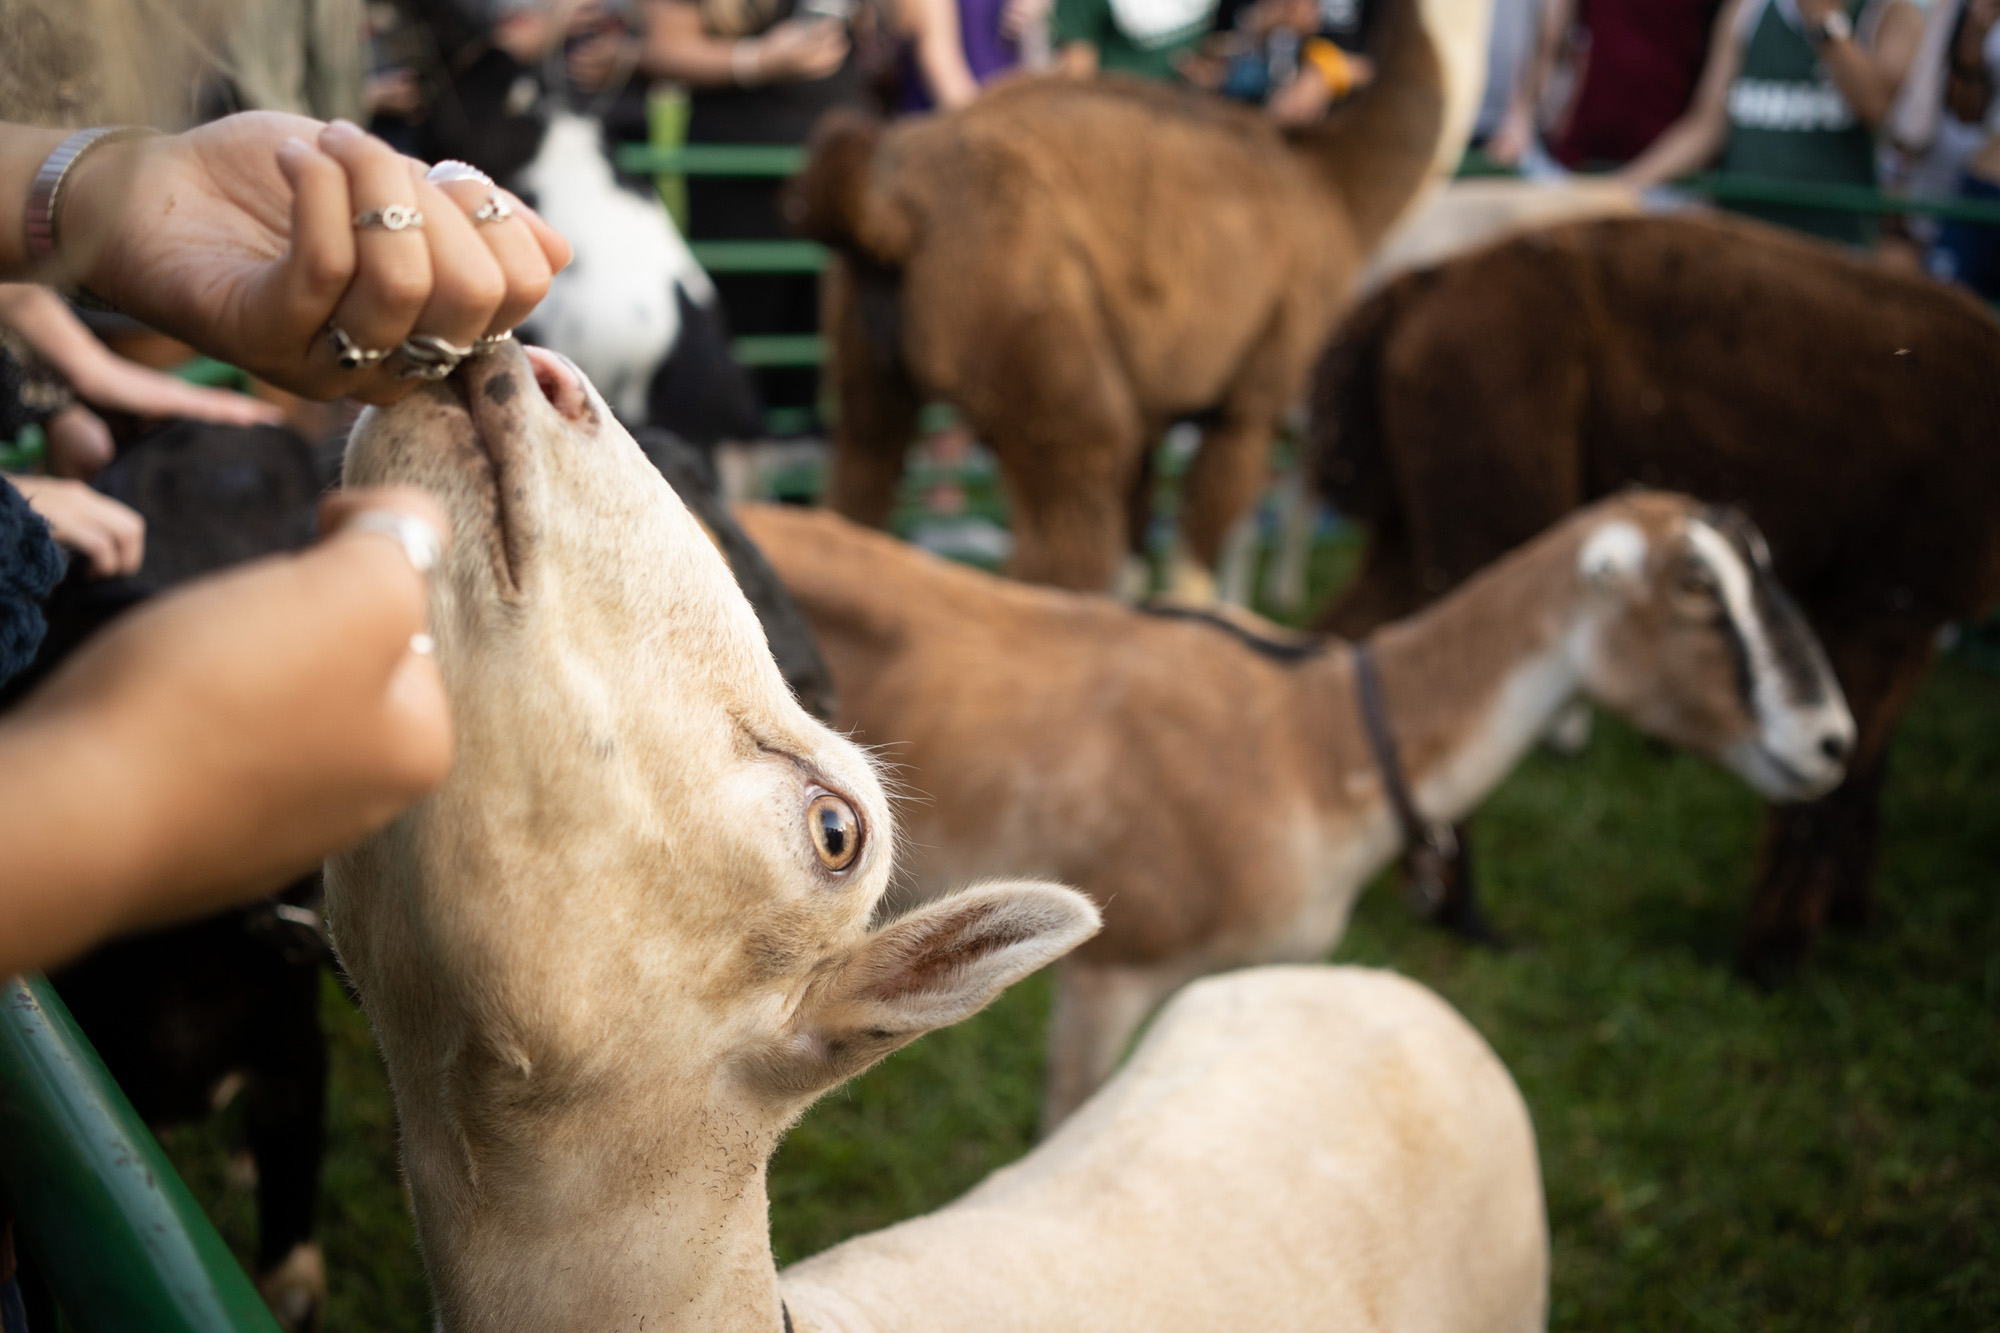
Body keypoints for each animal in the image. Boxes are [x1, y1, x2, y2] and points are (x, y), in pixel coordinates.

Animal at [1306, 212, 2000, 977]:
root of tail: (1422, 282)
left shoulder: (1902, 614)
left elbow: (1864, 768)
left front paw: (1853, 920)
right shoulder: (1888, 600)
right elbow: (1837, 783)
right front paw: (1774, 959)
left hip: (1417, 517)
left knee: (1355, 639)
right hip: (1487, 493)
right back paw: (1464, 914)